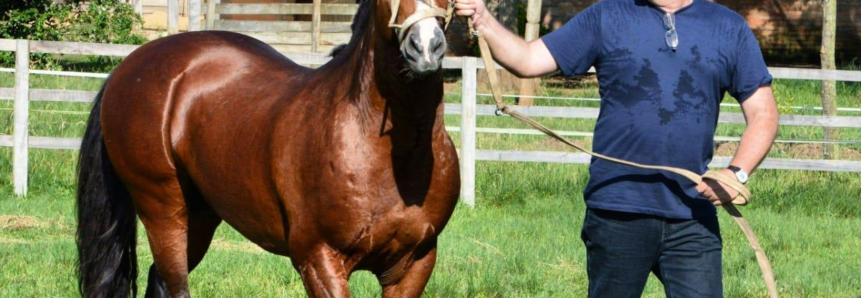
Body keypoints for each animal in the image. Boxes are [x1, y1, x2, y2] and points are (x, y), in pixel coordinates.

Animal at [77, 0, 460, 296]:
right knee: (174, 284)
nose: (426, 48)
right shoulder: (319, 259)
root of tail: (129, 65)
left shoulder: (414, 264)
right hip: (163, 210)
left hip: (199, 217)